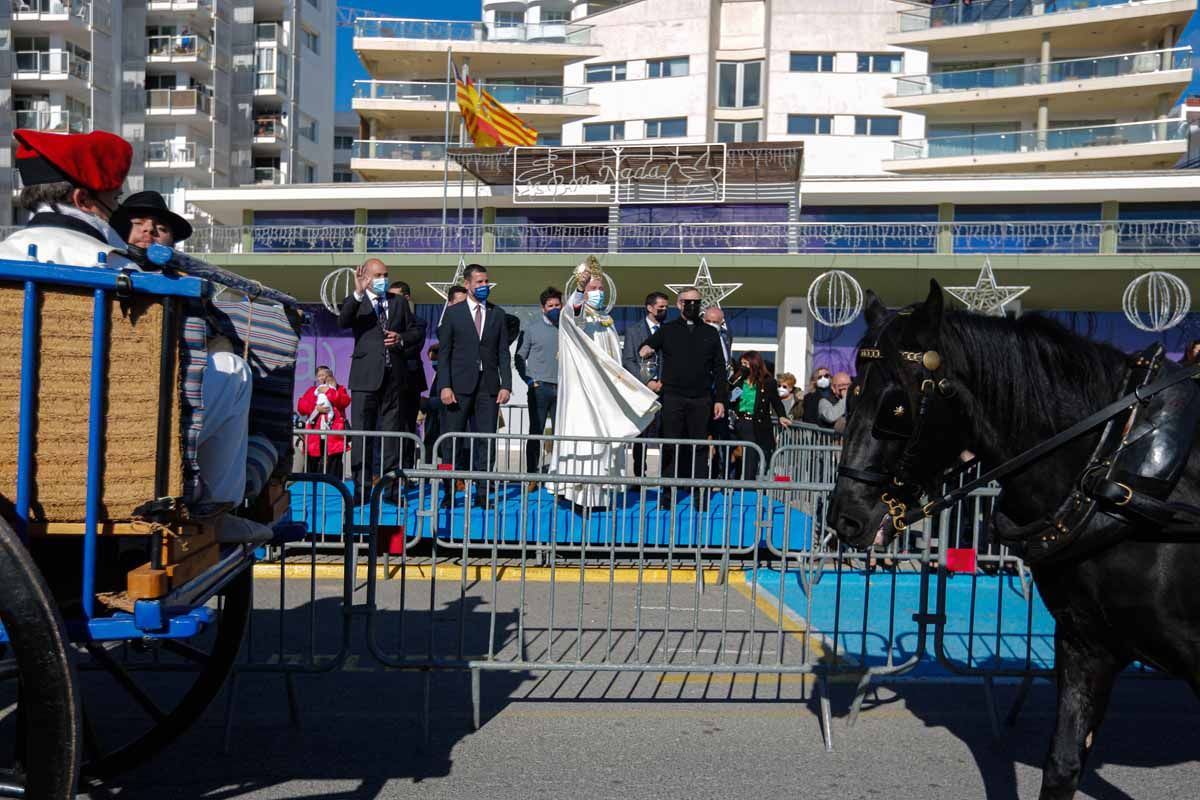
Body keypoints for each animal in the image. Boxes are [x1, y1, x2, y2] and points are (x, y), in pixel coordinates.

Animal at [830, 281, 1195, 800]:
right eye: (851, 394)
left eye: (895, 409)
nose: (846, 516)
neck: (1112, 461)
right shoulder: (1087, 644)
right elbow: (1062, 764)